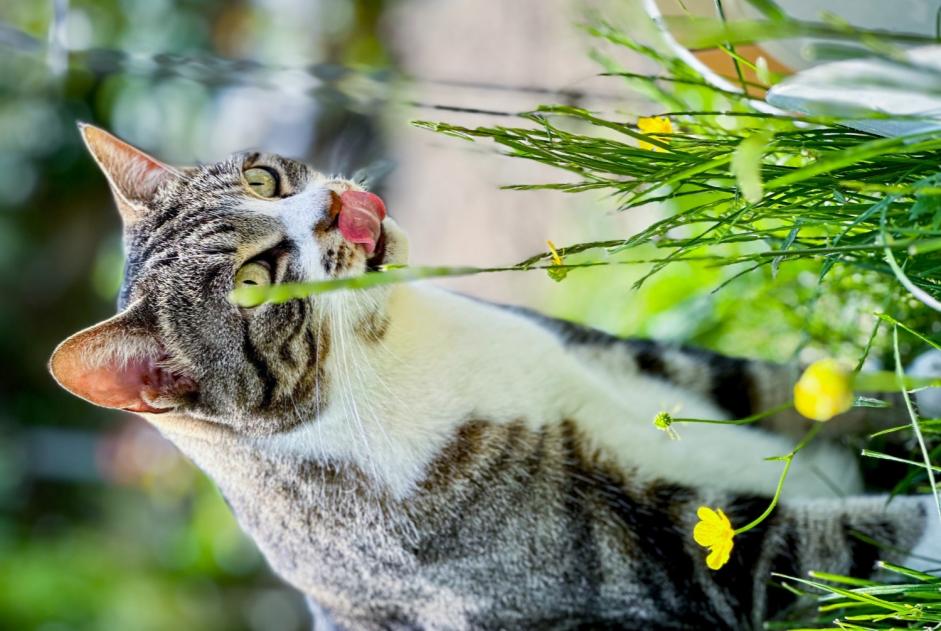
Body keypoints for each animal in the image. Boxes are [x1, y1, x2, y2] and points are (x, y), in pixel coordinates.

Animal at [53, 124, 940, 631]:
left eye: (262, 180)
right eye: (254, 282)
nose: (340, 207)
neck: (396, 349)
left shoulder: (634, 360)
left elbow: (793, 390)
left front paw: (918, 386)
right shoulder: (654, 564)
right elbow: (815, 547)